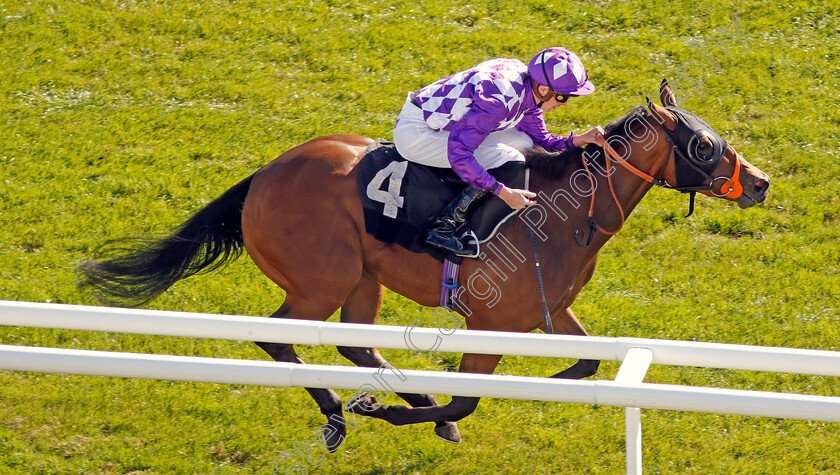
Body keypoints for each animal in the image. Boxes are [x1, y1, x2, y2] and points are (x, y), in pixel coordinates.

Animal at [77, 81, 768, 450]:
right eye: (703, 143)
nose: (759, 183)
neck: (564, 211)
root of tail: (265, 174)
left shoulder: (549, 313)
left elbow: (585, 364)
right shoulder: (491, 325)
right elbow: (467, 402)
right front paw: (401, 415)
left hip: (362, 279)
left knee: (356, 343)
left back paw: (385, 397)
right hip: (321, 279)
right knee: (279, 335)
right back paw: (340, 411)